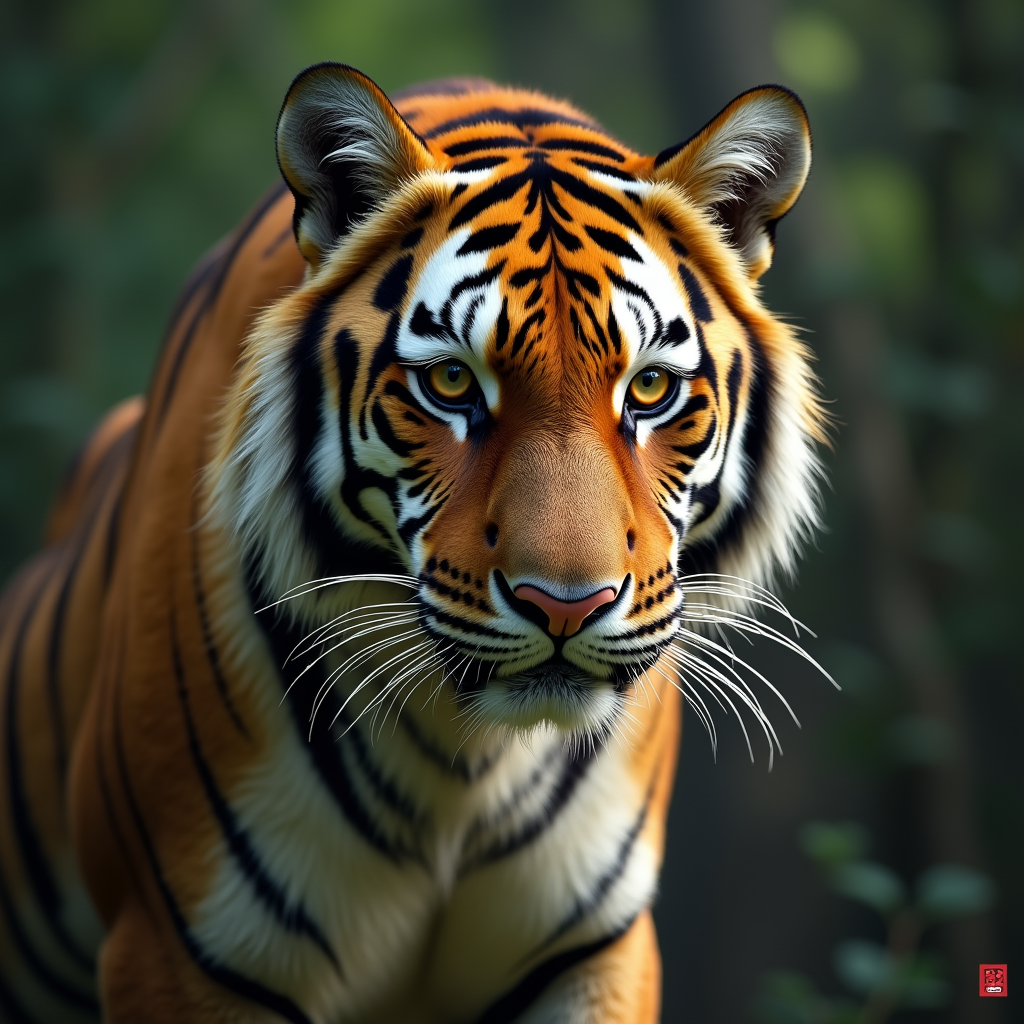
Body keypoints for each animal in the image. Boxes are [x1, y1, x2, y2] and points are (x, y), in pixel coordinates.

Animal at [0, 63, 825, 1022]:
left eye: (650, 388)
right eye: (451, 383)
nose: (566, 605)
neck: (465, 764)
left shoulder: (596, 951)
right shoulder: (177, 951)